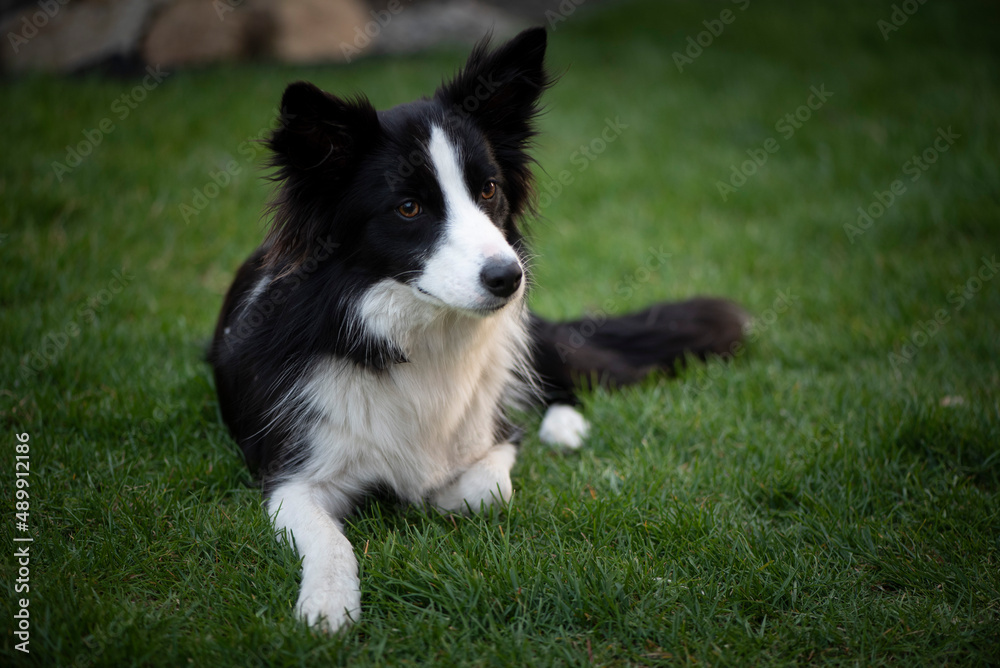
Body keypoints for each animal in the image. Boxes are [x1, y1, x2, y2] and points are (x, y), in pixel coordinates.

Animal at [209, 26, 744, 632]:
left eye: (488, 190)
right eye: (409, 208)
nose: (509, 278)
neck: (416, 335)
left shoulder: (493, 432)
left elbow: (489, 487)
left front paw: (433, 496)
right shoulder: (290, 475)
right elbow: (328, 537)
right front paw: (327, 604)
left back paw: (563, 427)